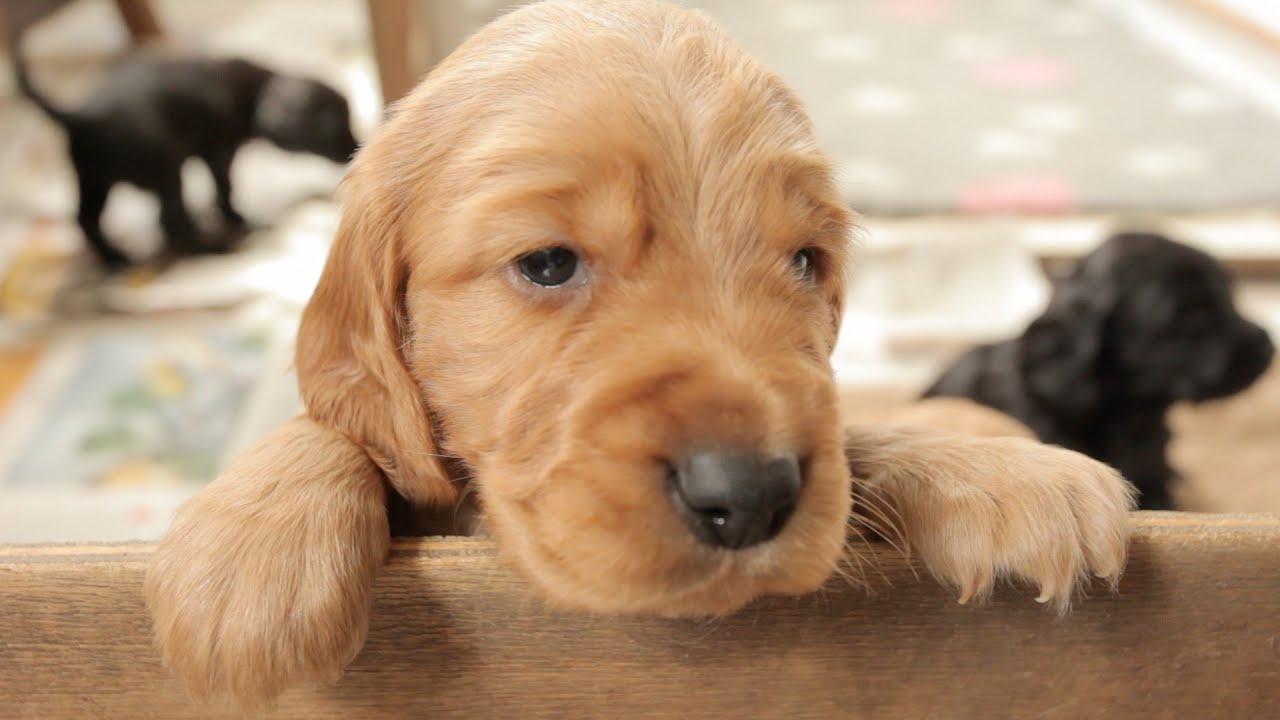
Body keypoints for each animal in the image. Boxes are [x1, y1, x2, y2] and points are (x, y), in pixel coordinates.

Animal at [12, 48, 358, 269]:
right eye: (336, 126)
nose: (355, 147)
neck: (252, 86)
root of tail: (85, 117)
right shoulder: (220, 151)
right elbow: (224, 187)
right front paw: (236, 219)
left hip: (92, 179)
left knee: (86, 220)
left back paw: (114, 260)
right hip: (164, 167)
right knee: (171, 220)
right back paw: (214, 250)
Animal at [145, 0, 1136, 702]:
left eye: (805, 261)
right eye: (547, 263)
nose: (749, 496)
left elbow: (859, 437)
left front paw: (1004, 475)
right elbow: (334, 429)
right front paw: (251, 553)